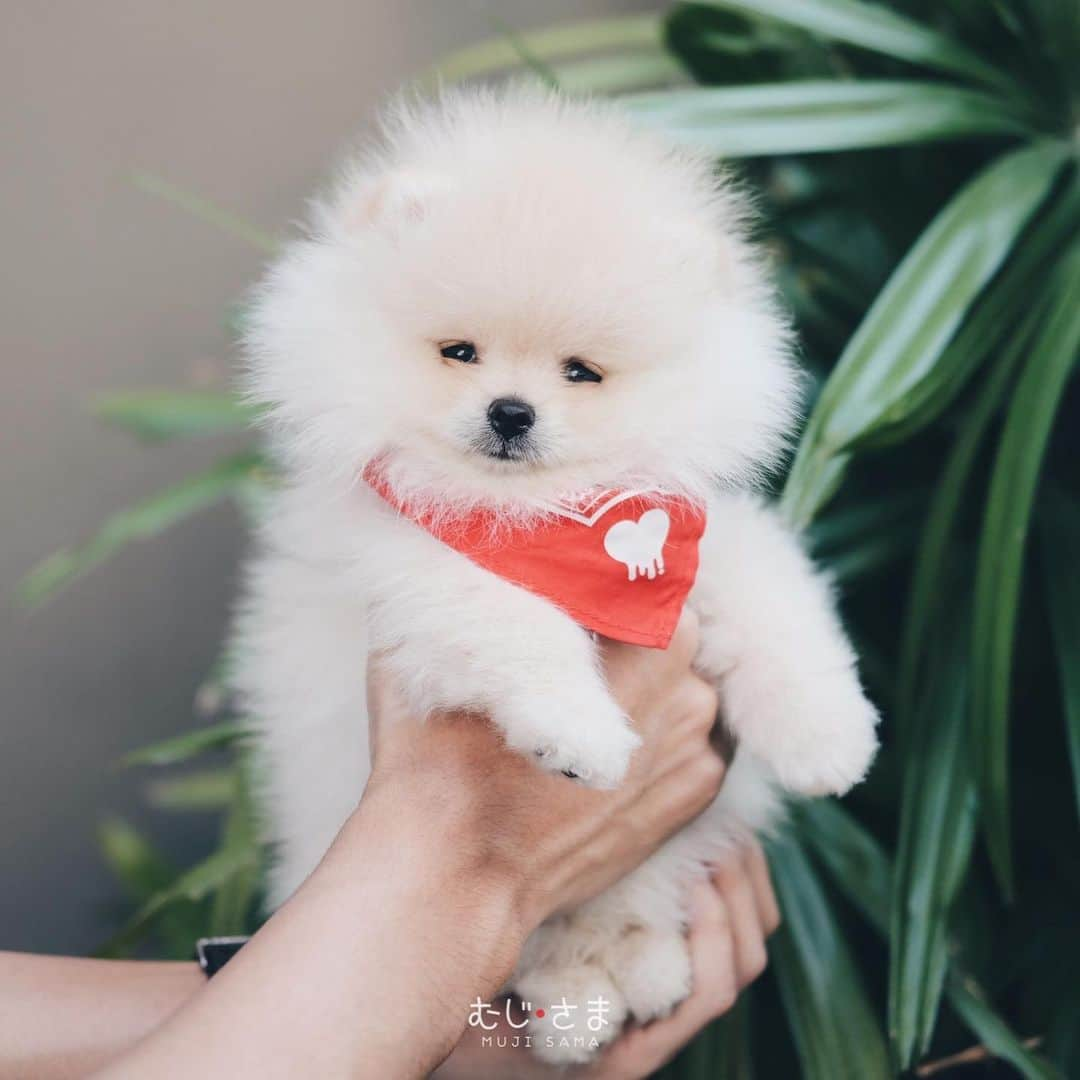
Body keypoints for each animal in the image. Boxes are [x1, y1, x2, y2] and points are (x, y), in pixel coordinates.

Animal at [232, 86, 881, 1062]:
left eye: (582, 372)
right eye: (459, 352)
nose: (511, 411)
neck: (546, 518)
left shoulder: (703, 542)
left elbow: (780, 613)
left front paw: (828, 742)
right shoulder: (416, 566)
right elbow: (516, 624)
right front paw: (580, 734)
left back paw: (637, 970)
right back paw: (576, 1006)